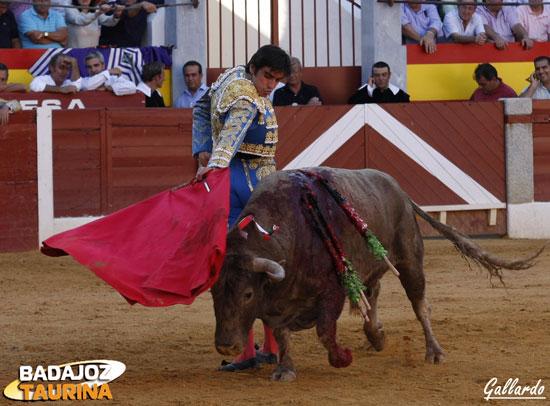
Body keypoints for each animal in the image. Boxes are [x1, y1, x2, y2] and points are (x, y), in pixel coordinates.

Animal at [212, 167, 544, 380]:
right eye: (214, 294)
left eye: (247, 294)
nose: (226, 345)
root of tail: (401, 191)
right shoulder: (277, 303)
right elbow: (281, 334)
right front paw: (285, 369)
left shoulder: (331, 290)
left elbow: (325, 330)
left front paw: (341, 358)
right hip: (370, 265)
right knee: (373, 294)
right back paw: (376, 335)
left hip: (410, 260)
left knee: (420, 305)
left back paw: (434, 352)